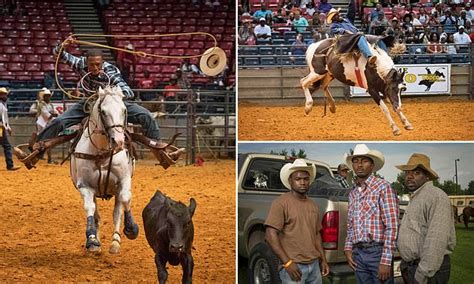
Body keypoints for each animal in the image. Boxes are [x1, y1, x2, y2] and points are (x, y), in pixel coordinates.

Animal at [70, 85, 139, 254]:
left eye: (124, 110)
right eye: (103, 111)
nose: (119, 141)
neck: (101, 154)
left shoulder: (123, 181)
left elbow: (125, 199)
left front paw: (131, 228)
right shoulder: (85, 186)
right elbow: (90, 209)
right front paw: (92, 239)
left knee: (117, 212)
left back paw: (115, 241)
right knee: (96, 214)